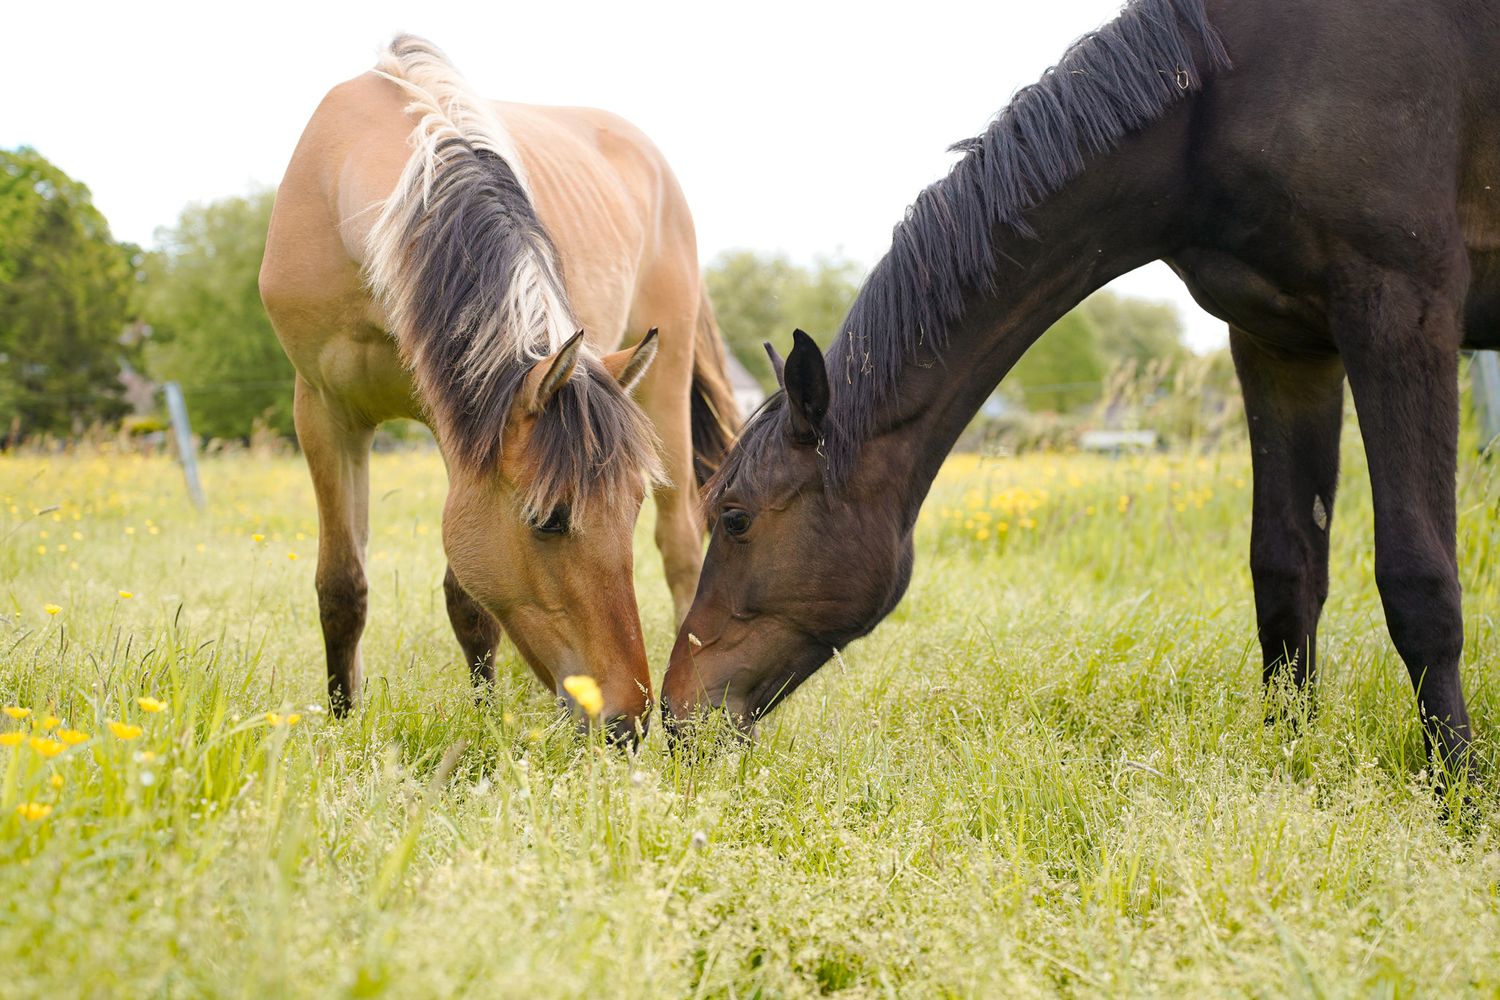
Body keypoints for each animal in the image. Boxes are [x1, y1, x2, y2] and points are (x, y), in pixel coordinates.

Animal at [260, 36, 740, 738]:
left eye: (628, 510)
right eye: (549, 520)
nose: (626, 722)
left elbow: (468, 603)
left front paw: (485, 724)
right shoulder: (323, 413)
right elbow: (342, 587)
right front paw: (344, 723)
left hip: (669, 374)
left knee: (680, 542)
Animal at [661, 0, 1500, 772]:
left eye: (734, 518)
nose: (673, 713)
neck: (1234, 90)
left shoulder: (1401, 310)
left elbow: (1419, 581)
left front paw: (1455, 788)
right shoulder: (1281, 344)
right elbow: (1285, 570)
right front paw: (1289, 756)